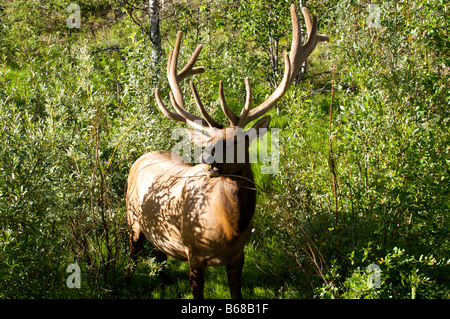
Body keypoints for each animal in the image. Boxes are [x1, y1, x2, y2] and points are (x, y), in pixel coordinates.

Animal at [125, 4, 328, 300]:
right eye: (208, 140)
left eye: (236, 140)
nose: (205, 158)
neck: (228, 231)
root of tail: (140, 158)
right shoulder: (194, 253)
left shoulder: (238, 257)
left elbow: (236, 294)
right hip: (132, 221)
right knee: (132, 257)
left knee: (159, 258)